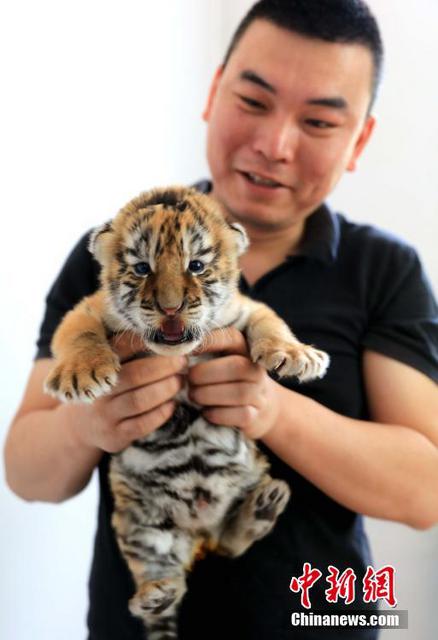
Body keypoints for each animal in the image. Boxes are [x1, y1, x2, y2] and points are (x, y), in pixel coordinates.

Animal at [44, 185, 329, 640]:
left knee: (229, 543)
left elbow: (272, 324)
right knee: (167, 574)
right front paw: (82, 373)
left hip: (247, 477)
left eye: (196, 265)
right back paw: (155, 594)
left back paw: (261, 507)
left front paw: (297, 355)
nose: (171, 308)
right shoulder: (87, 309)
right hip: (142, 525)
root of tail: (200, 529)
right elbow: (79, 334)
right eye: (142, 268)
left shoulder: (246, 309)